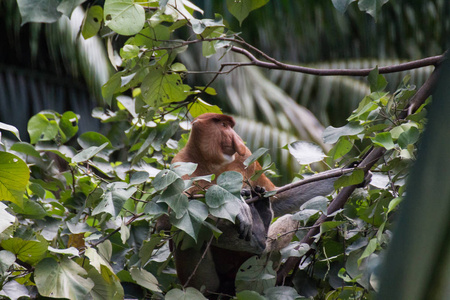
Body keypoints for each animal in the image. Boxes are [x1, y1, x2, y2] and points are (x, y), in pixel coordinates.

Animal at [167, 113, 336, 294]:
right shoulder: (179, 164)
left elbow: (278, 197)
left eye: (230, 126)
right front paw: (237, 205)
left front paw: (347, 171)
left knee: (290, 219)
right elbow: (176, 213)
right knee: (187, 235)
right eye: (223, 125)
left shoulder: (246, 157)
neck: (211, 162)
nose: (237, 140)